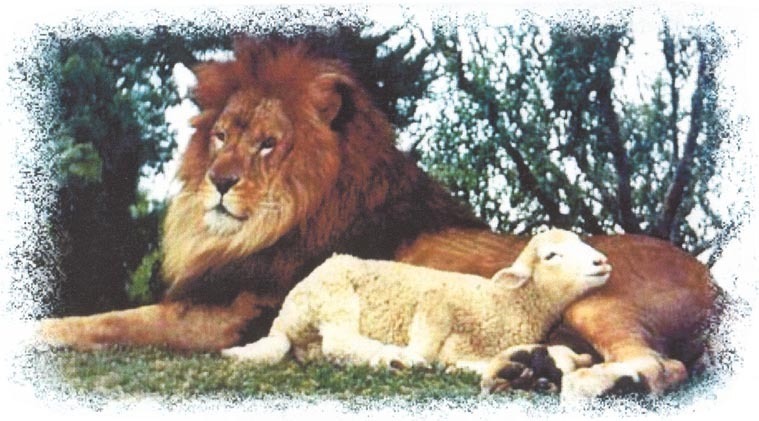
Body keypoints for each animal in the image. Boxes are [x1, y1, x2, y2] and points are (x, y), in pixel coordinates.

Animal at [222, 229, 611, 376]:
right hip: (334, 293)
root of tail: (283, 321)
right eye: (551, 255)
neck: (504, 302)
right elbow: (431, 348)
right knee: (339, 342)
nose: (602, 261)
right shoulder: (436, 305)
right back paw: (393, 357)